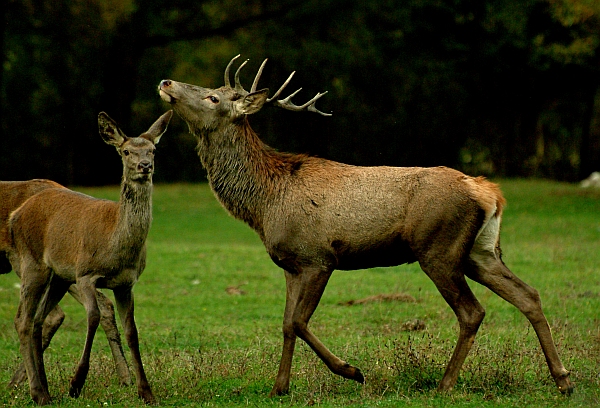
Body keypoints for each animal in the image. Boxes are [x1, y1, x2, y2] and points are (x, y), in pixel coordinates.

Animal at [157, 55, 576, 396]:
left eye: (214, 98)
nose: (166, 82)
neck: (266, 203)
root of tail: (488, 191)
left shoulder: (318, 257)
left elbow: (300, 321)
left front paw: (352, 371)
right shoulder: (291, 265)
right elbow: (287, 324)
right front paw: (279, 387)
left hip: (438, 248)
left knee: (472, 311)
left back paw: (445, 383)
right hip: (480, 250)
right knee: (528, 294)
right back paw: (563, 379)